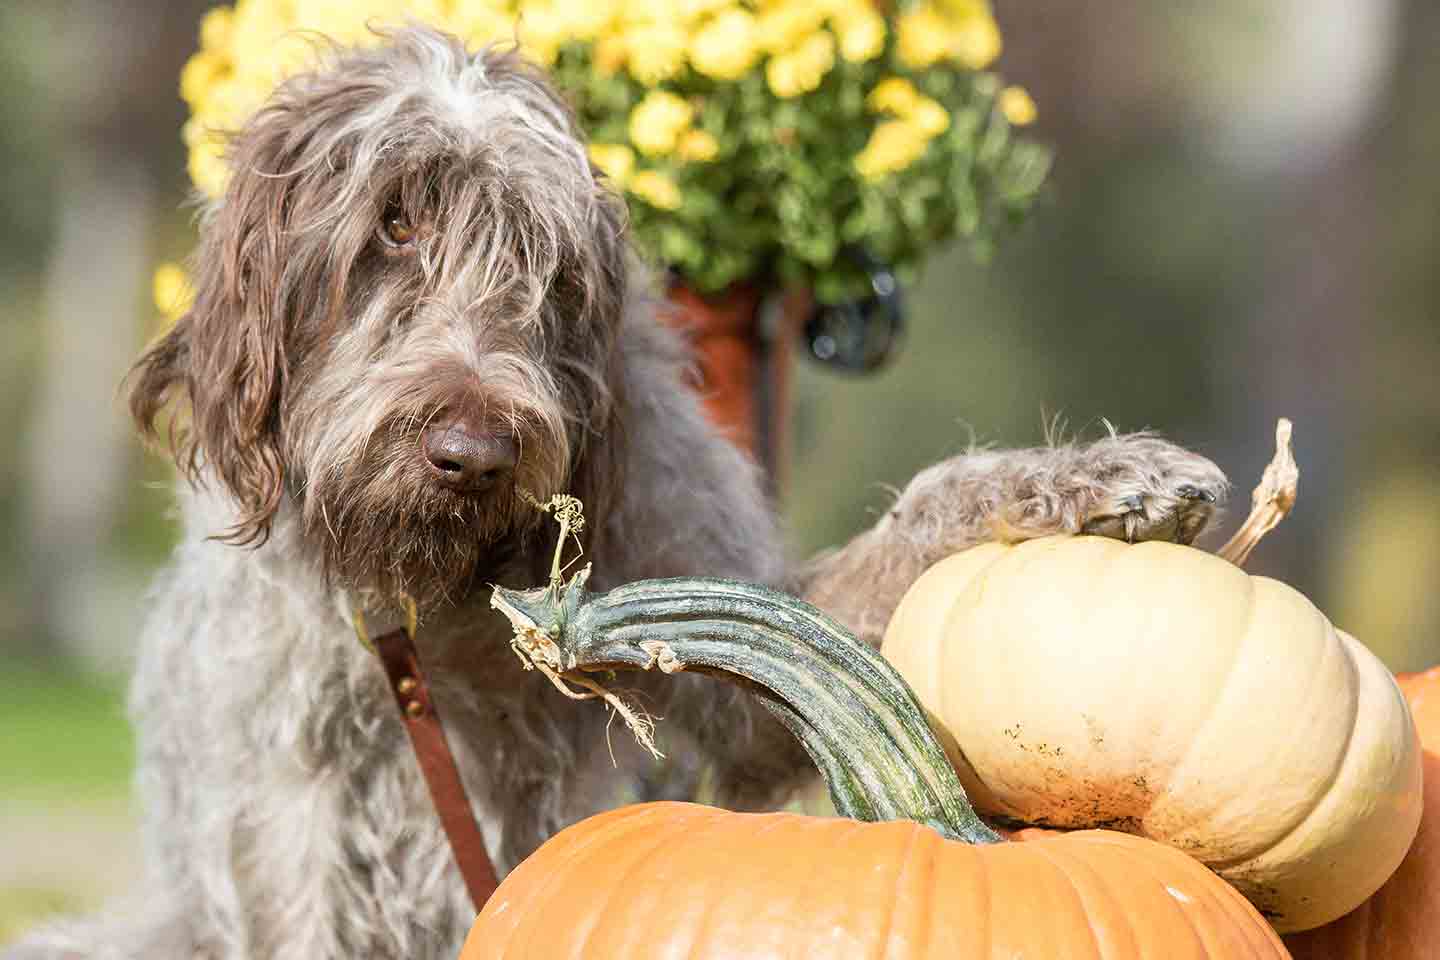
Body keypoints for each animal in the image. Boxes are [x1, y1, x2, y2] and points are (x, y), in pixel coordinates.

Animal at [8, 28, 1226, 960]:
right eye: (394, 225)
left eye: (549, 270)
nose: (474, 454)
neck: (444, 606)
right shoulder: (288, 811)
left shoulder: (728, 666)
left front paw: (1101, 477)